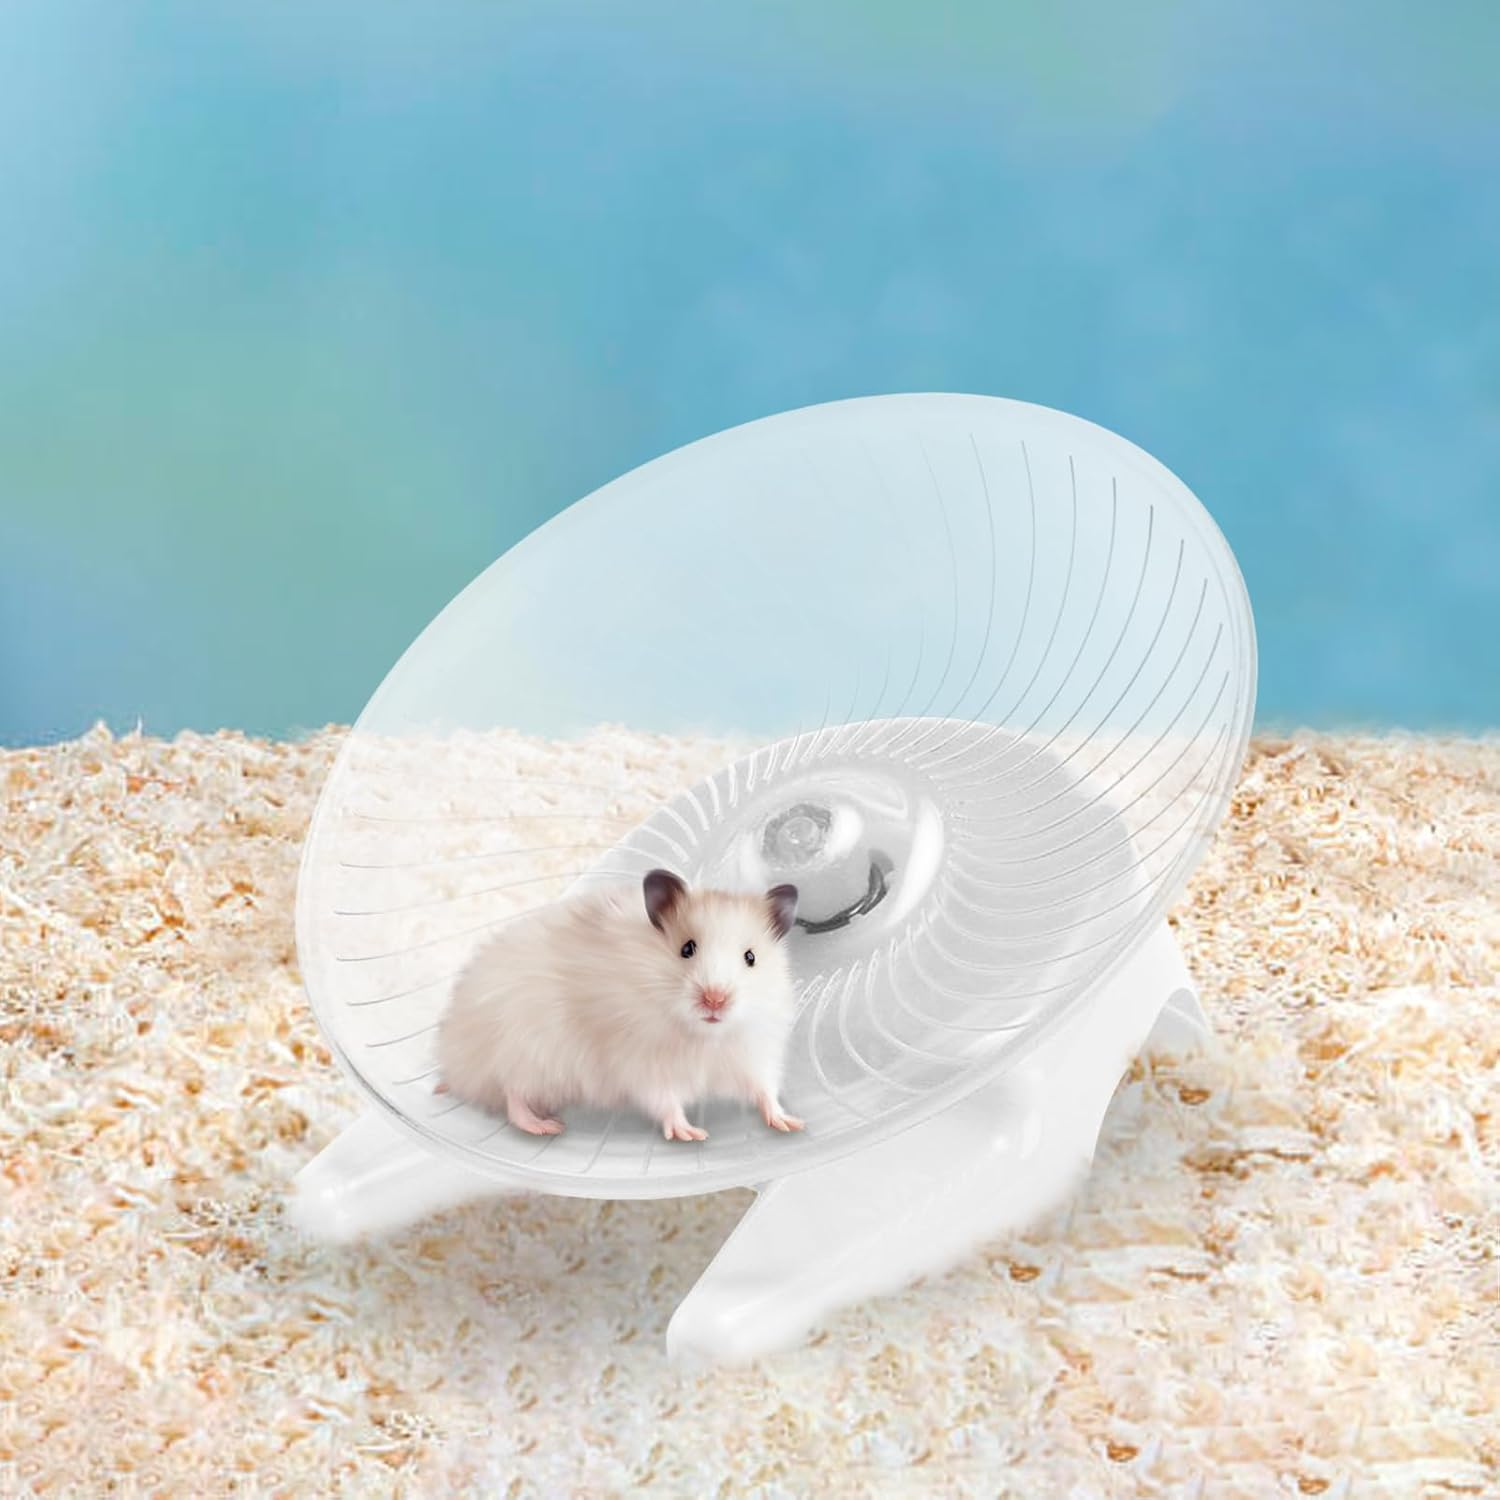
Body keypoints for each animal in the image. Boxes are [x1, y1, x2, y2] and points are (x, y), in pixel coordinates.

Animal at [436, 869, 803, 1142]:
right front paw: (692, 1134)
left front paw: (791, 1123)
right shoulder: (642, 1064)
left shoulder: (752, 1054)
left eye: (750, 957)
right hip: (526, 1052)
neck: (703, 1035)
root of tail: (454, 1064)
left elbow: (764, 1091)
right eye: (686, 949)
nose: (715, 999)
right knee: (512, 1096)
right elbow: (666, 1100)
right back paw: (546, 1126)